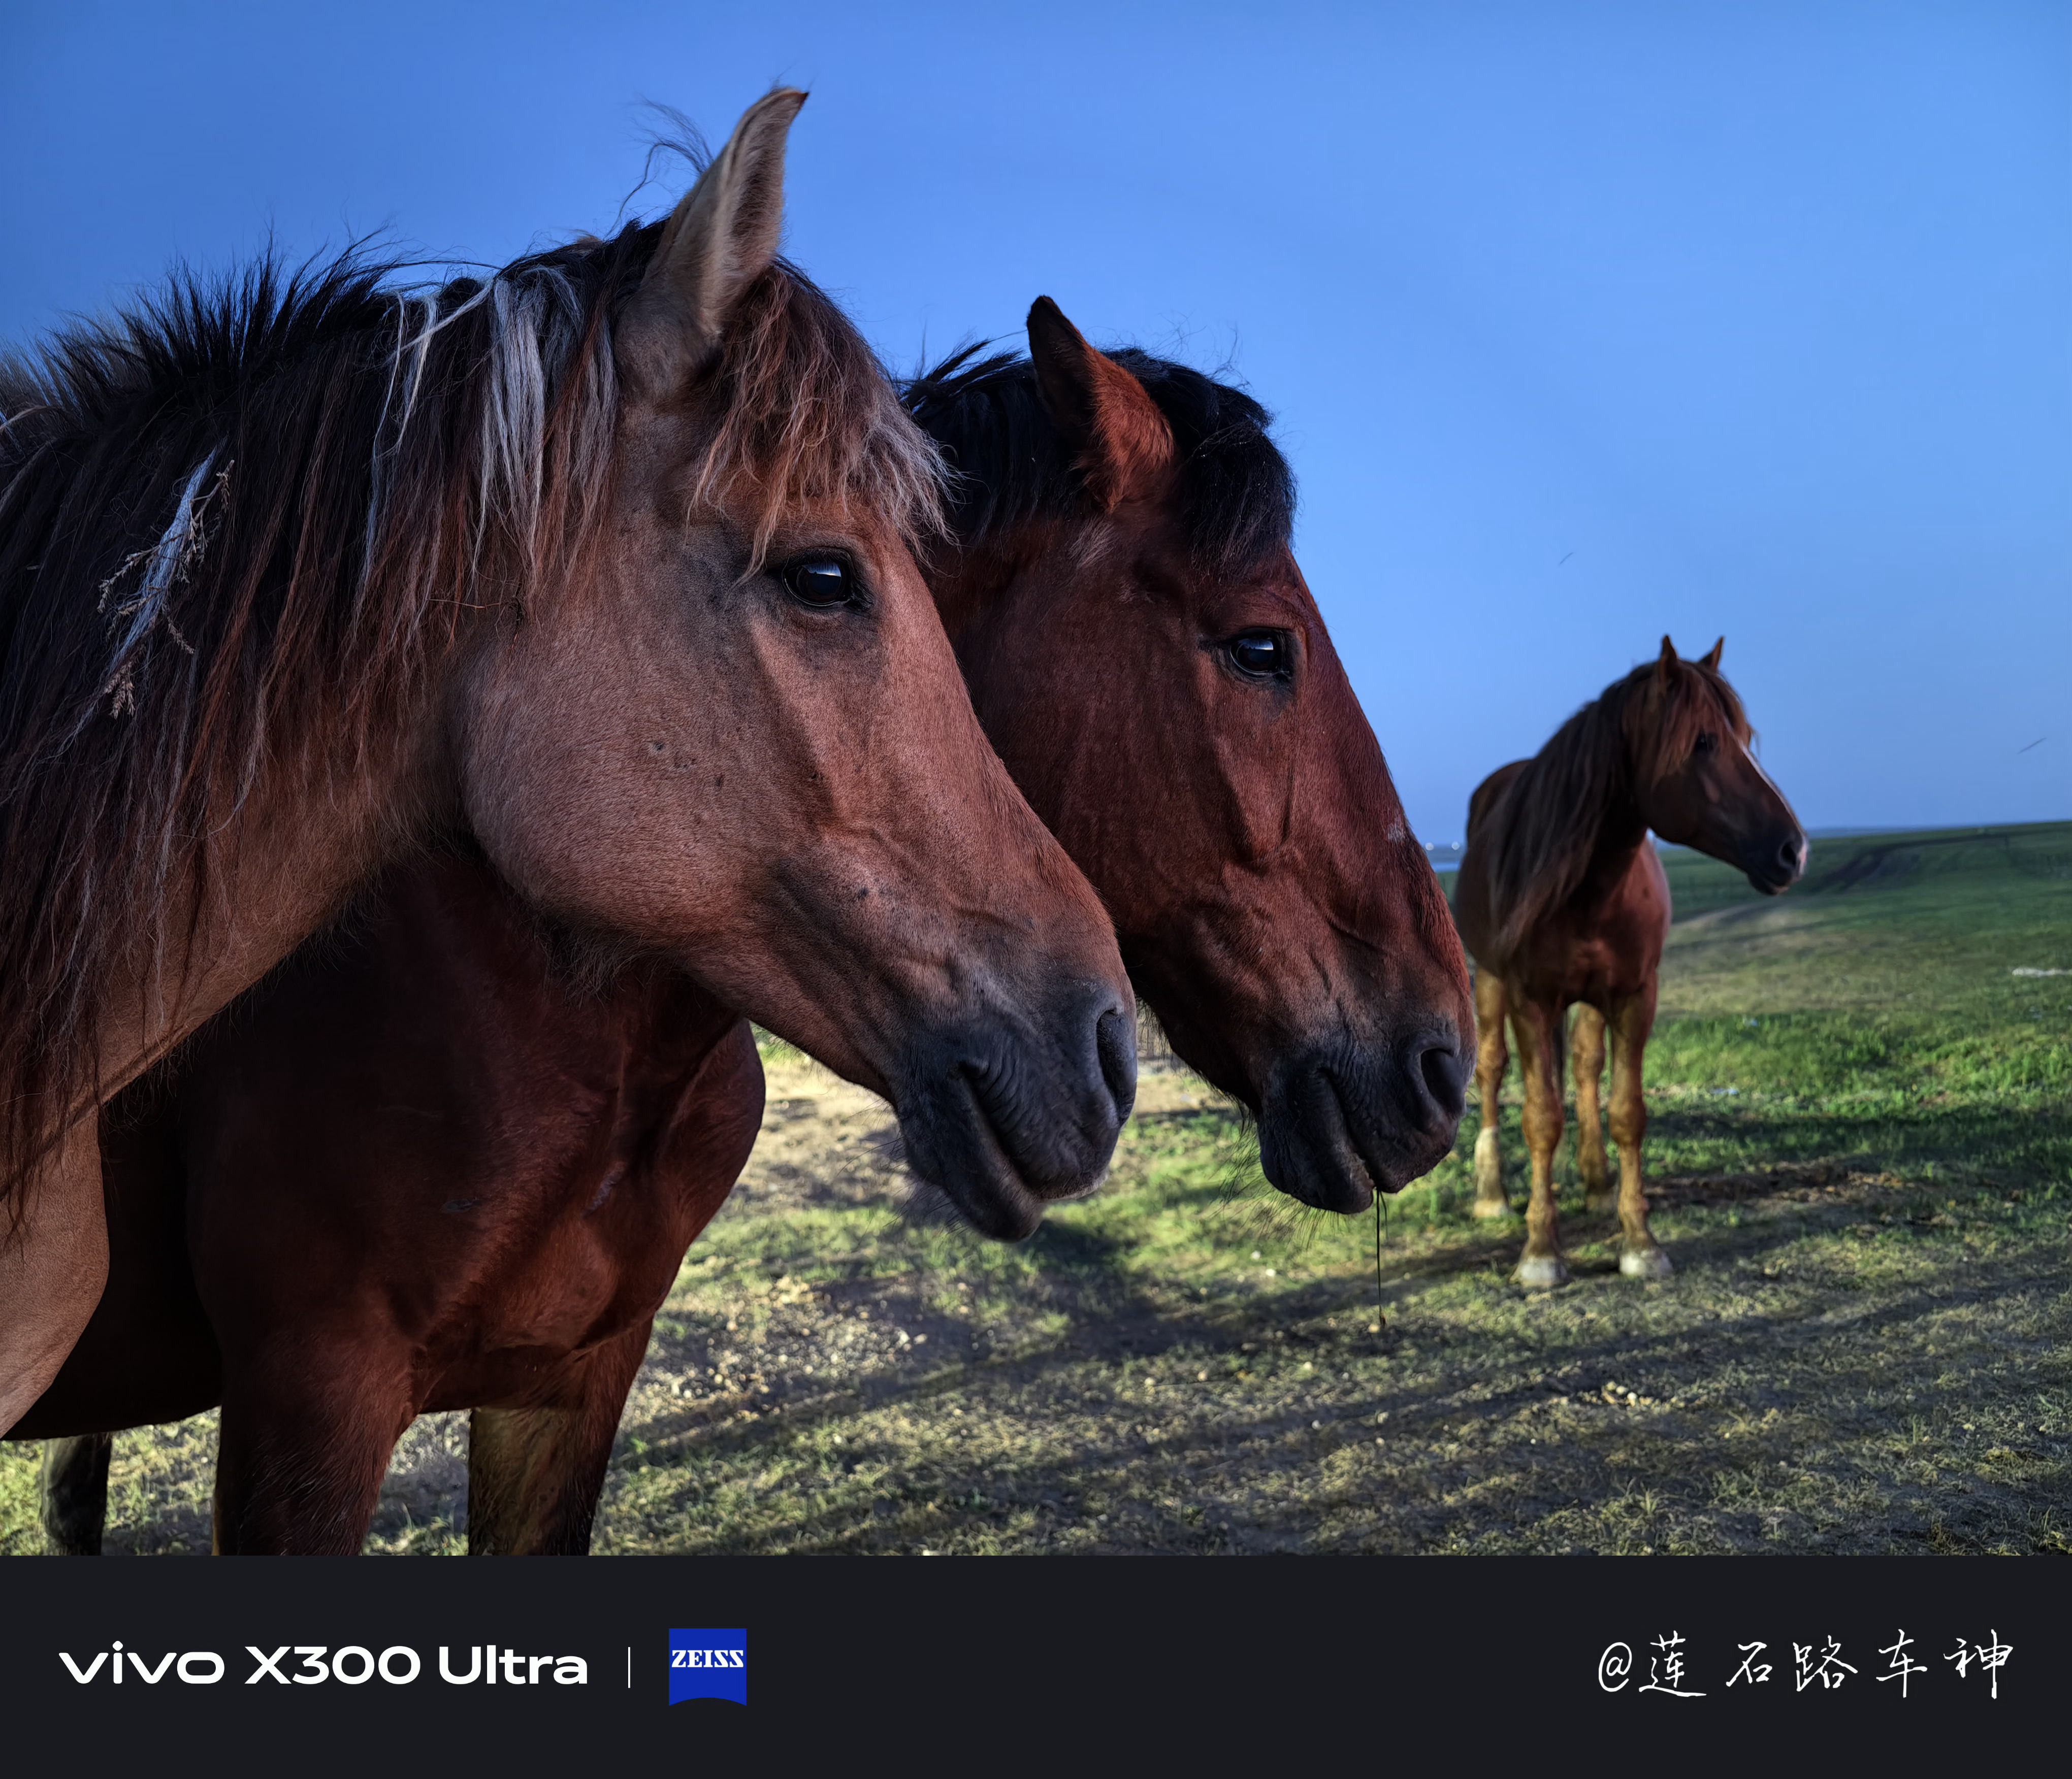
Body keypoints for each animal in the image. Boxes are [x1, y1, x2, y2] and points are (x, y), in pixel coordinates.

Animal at [1452, 638, 1805, 1287]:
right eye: (1703, 741)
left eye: (1746, 735)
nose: (1793, 850)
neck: (1590, 887)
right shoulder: (1529, 998)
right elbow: (1540, 1117)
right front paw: (1541, 1251)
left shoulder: (1636, 996)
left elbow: (1626, 1112)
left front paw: (1639, 1240)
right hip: (1488, 981)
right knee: (1490, 1069)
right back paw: (1492, 1194)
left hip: (1594, 1000)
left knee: (1586, 1067)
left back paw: (1595, 1185)